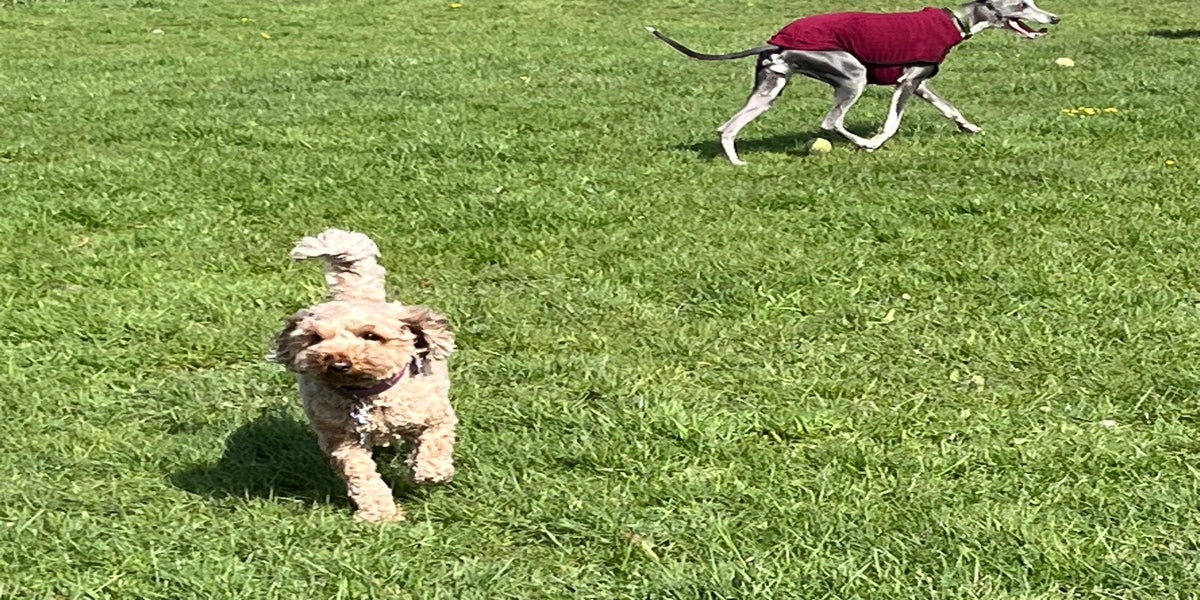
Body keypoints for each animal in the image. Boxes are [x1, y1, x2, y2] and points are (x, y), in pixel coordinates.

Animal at [270, 229, 457, 522]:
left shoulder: (436, 416)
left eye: (371, 335)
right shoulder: (342, 439)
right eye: (315, 338)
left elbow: (435, 442)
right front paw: (379, 513)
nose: (338, 363)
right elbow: (361, 475)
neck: (366, 396)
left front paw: (430, 472)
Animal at [648, 0, 1061, 165]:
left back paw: (736, 162)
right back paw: (863, 143)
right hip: (853, 76)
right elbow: (892, 125)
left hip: (769, 90)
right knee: (830, 122)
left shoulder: (920, 83)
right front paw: (876, 140)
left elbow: (949, 107)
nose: (1054, 18)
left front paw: (970, 127)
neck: (956, 22)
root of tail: (776, 41)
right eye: (1022, 5)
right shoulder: (906, 83)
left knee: (727, 127)